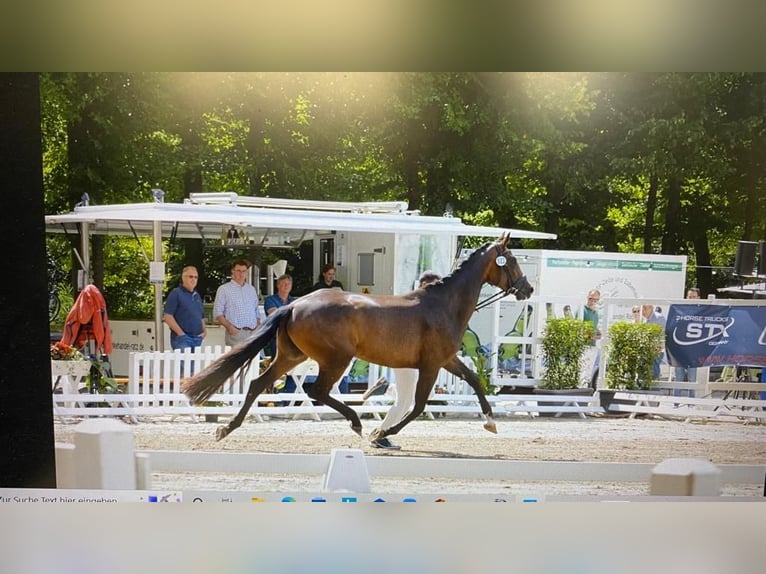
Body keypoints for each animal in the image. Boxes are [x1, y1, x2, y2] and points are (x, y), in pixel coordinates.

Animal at [185, 233, 536, 440]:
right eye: (511, 260)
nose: (528, 289)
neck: (444, 304)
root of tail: (295, 304)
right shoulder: (432, 364)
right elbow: (419, 405)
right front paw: (383, 433)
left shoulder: (446, 360)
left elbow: (475, 380)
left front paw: (490, 421)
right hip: (336, 359)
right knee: (316, 391)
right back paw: (356, 422)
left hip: (291, 356)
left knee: (259, 384)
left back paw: (227, 428)